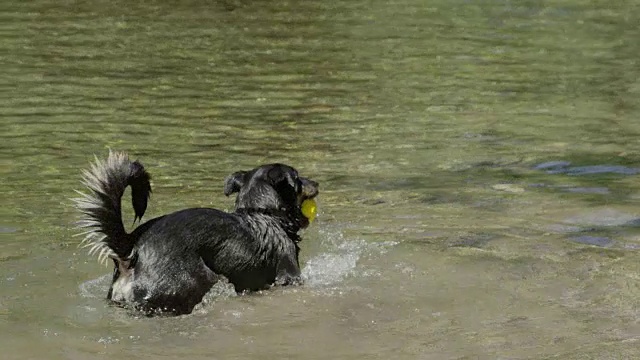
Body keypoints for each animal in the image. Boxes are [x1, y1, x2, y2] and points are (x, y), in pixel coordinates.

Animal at [74, 150, 318, 316]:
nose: (316, 182)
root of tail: (132, 248)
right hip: (191, 283)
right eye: (298, 178)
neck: (263, 213)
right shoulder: (288, 277)